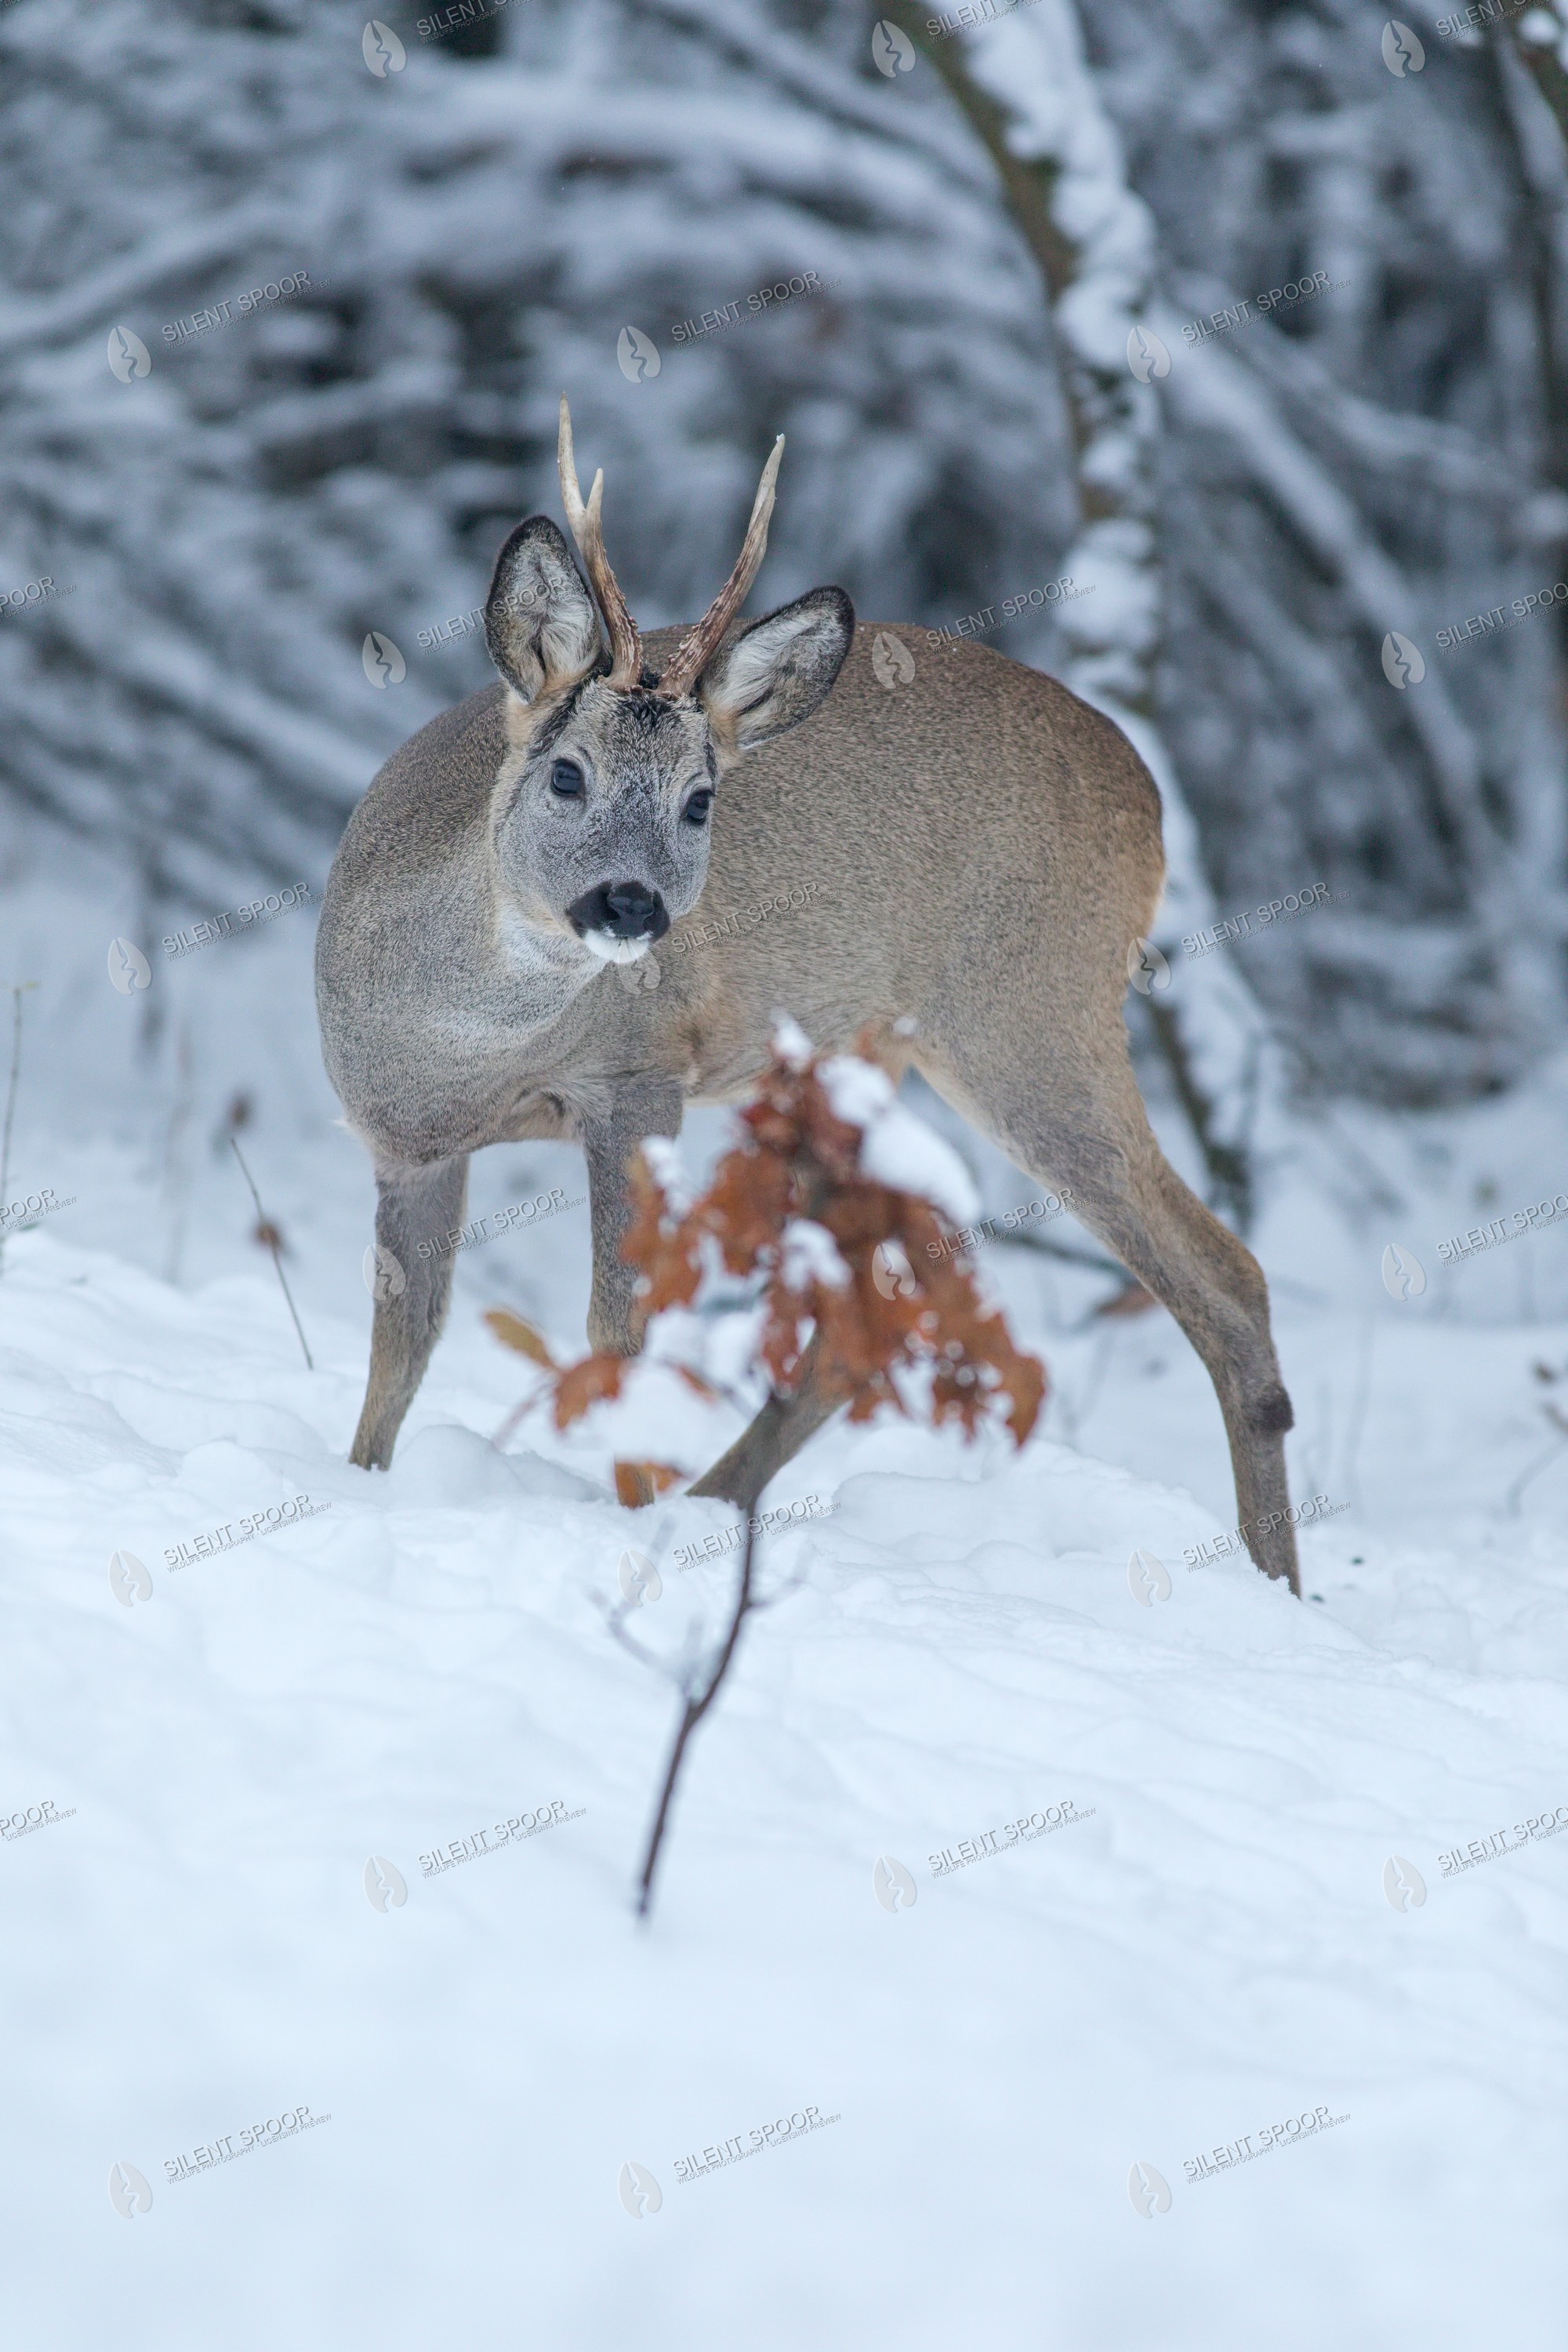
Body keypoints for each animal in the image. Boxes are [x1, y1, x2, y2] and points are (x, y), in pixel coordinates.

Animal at [315, 400, 1300, 1595]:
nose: (634, 905)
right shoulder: (400, 1144)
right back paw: (716, 1503)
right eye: (567, 774)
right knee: (896, 1285)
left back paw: (1282, 1586)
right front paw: (361, 1485)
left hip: (1031, 1010)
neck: (455, 1047)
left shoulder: (639, 1075)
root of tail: (1150, 799)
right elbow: (402, 1346)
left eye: (701, 802)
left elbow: (617, 1328)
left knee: (1225, 1273)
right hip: (864, 1048)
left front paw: (625, 1520)